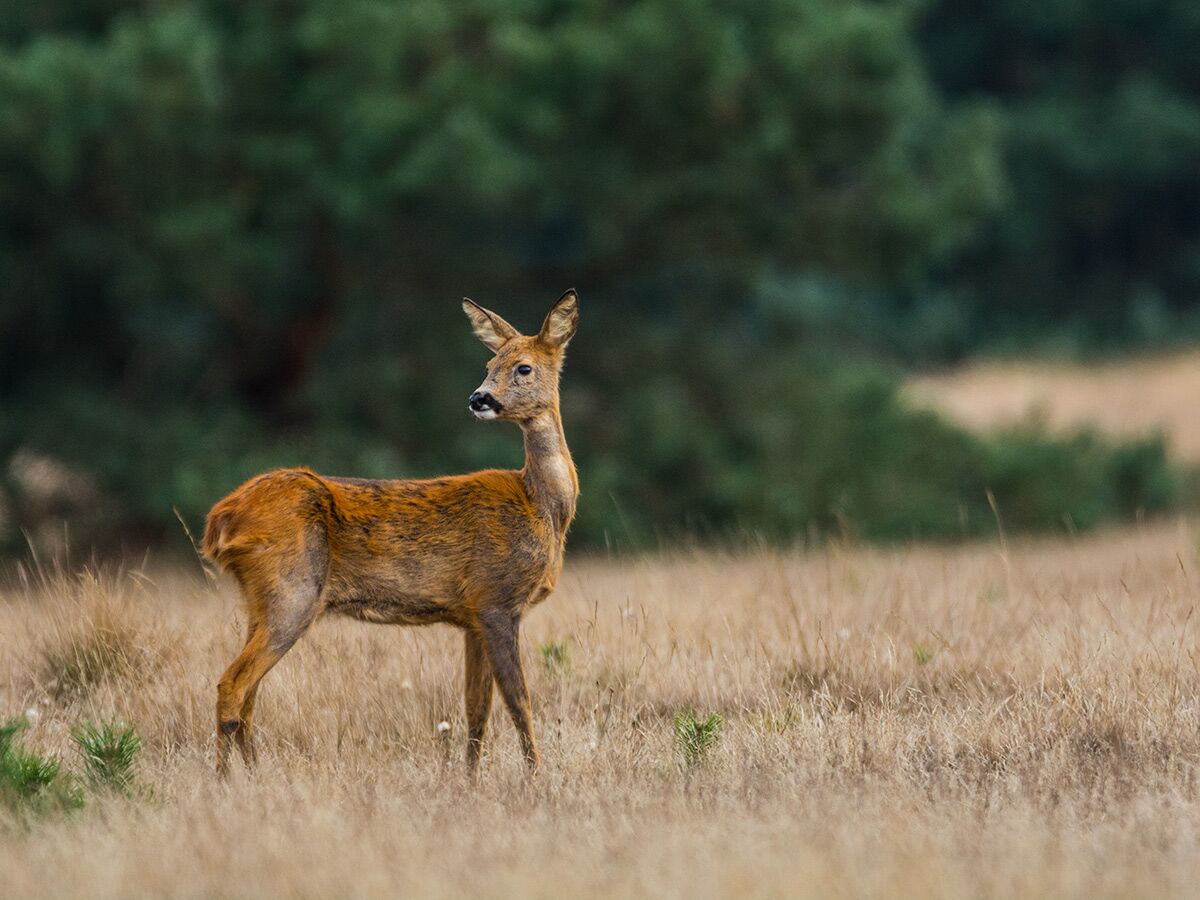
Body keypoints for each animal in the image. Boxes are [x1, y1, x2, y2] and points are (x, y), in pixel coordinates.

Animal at [201, 289, 580, 776]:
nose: (479, 398)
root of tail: (222, 517)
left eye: (523, 367)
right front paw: (536, 777)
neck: (543, 507)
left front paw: (471, 780)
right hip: (293, 590)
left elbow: (476, 708)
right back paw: (225, 780)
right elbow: (520, 702)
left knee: (249, 695)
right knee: (232, 685)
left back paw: (252, 774)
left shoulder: (472, 613)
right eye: (490, 362)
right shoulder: (497, 599)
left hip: (259, 598)